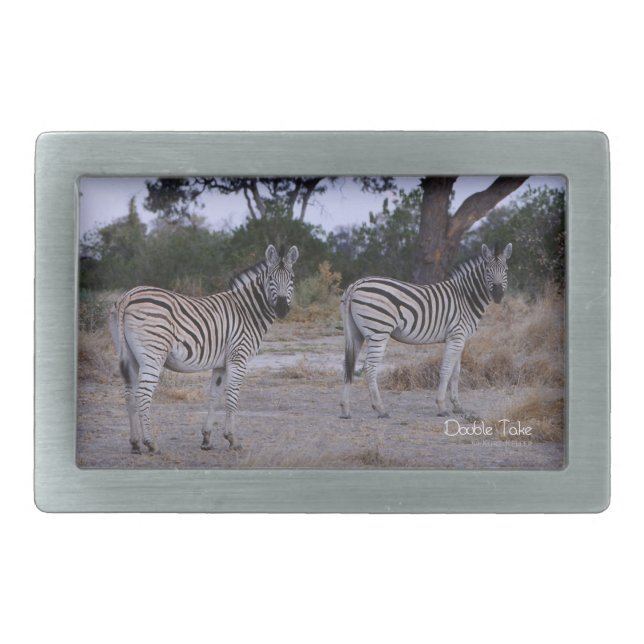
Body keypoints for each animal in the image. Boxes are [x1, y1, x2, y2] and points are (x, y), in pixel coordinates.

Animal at [109, 244, 299, 454]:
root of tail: (129, 295)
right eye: (271, 278)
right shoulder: (238, 357)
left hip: (130, 356)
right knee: (143, 394)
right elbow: (232, 397)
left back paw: (135, 442)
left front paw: (207, 439)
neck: (248, 311)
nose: (281, 309)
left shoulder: (221, 363)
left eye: (292, 278)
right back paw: (151, 443)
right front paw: (232, 439)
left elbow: (214, 396)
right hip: (153, 354)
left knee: (129, 395)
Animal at [339, 242, 512, 419]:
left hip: (355, 333)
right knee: (369, 367)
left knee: (348, 365)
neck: (465, 297)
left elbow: (456, 372)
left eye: (505, 270)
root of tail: (356, 285)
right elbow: (446, 370)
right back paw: (380, 409)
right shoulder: (456, 336)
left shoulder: (460, 339)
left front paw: (457, 405)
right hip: (378, 332)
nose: (498, 295)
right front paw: (442, 406)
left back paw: (346, 409)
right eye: (487, 270)